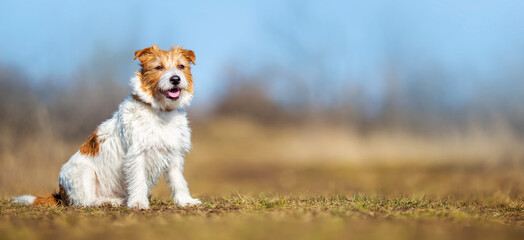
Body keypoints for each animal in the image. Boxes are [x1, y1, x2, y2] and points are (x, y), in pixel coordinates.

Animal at [12, 45, 201, 210]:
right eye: (159, 67)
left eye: (181, 66)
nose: (175, 79)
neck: (160, 111)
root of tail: (61, 194)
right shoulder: (136, 155)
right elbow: (138, 181)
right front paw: (138, 203)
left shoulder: (174, 155)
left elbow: (179, 181)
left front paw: (186, 201)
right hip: (85, 173)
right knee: (86, 202)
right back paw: (108, 202)